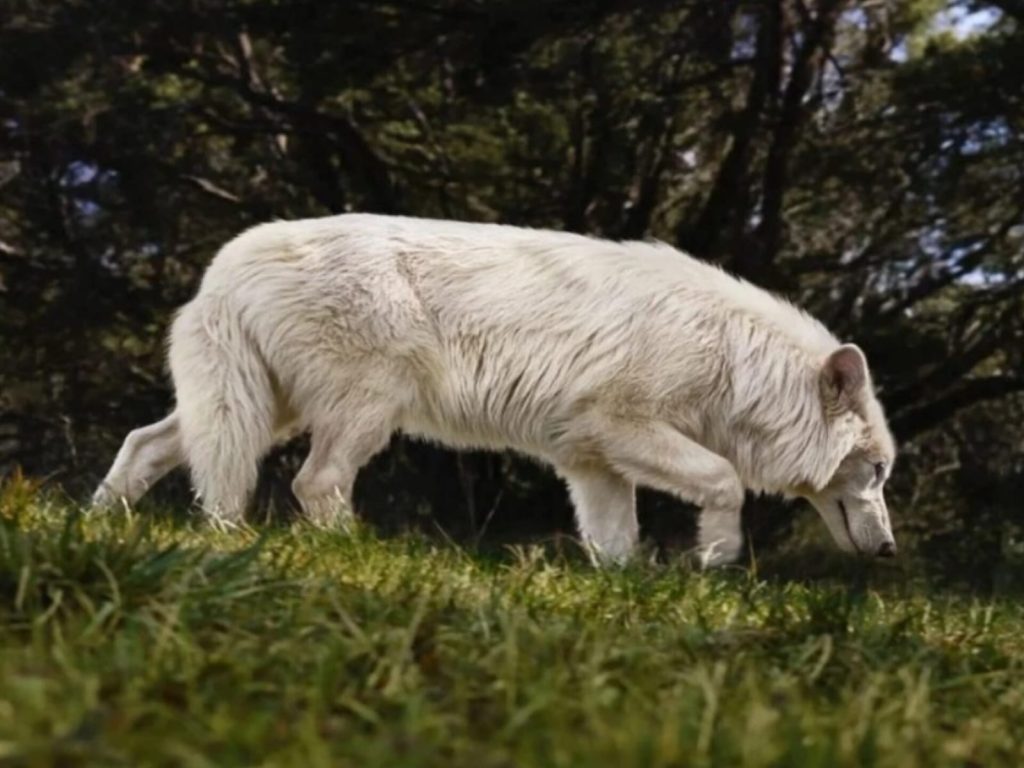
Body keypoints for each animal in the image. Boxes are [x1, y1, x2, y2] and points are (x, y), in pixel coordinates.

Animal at [93, 214, 897, 566]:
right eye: (880, 470)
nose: (890, 551)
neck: (736, 360)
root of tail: (226, 263)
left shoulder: (592, 462)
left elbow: (617, 545)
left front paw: (628, 594)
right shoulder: (626, 424)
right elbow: (725, 479)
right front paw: (718, 559)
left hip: (258, 412)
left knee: (148, 446)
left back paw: (107, 523)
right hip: (363, 412)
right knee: (314, 483)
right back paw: (358, 551)